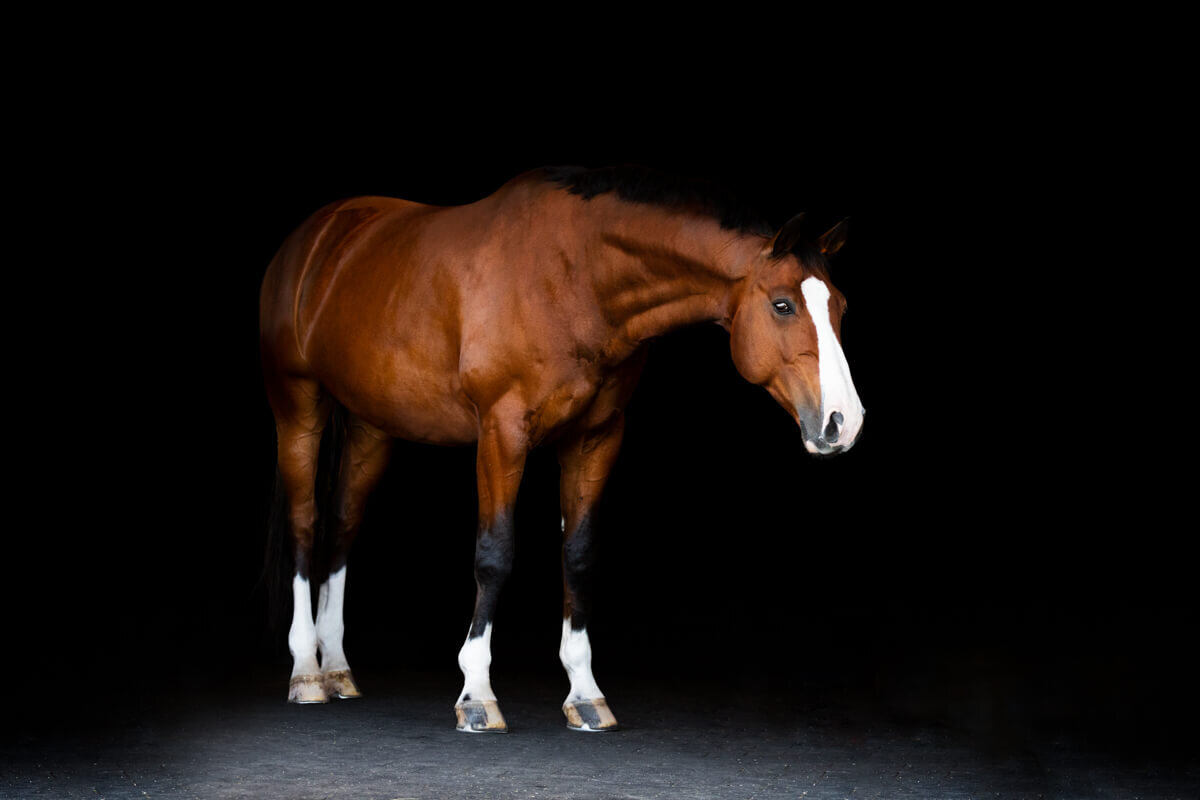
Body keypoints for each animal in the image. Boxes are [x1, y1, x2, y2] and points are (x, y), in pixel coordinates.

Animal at [260, 165, 864, 734]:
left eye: (840, 305)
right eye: (783, 305)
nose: (845, 423)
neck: (575, 280)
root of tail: (315, 236)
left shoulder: (595, 437)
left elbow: (578, 553)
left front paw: (585, 693)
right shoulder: (502, 432)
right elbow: (495, 553)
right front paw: (476, 694)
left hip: (372, 425)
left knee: (342, 526)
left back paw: (337, 668)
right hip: (297, 403)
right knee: (305, 523)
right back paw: (306, 673)